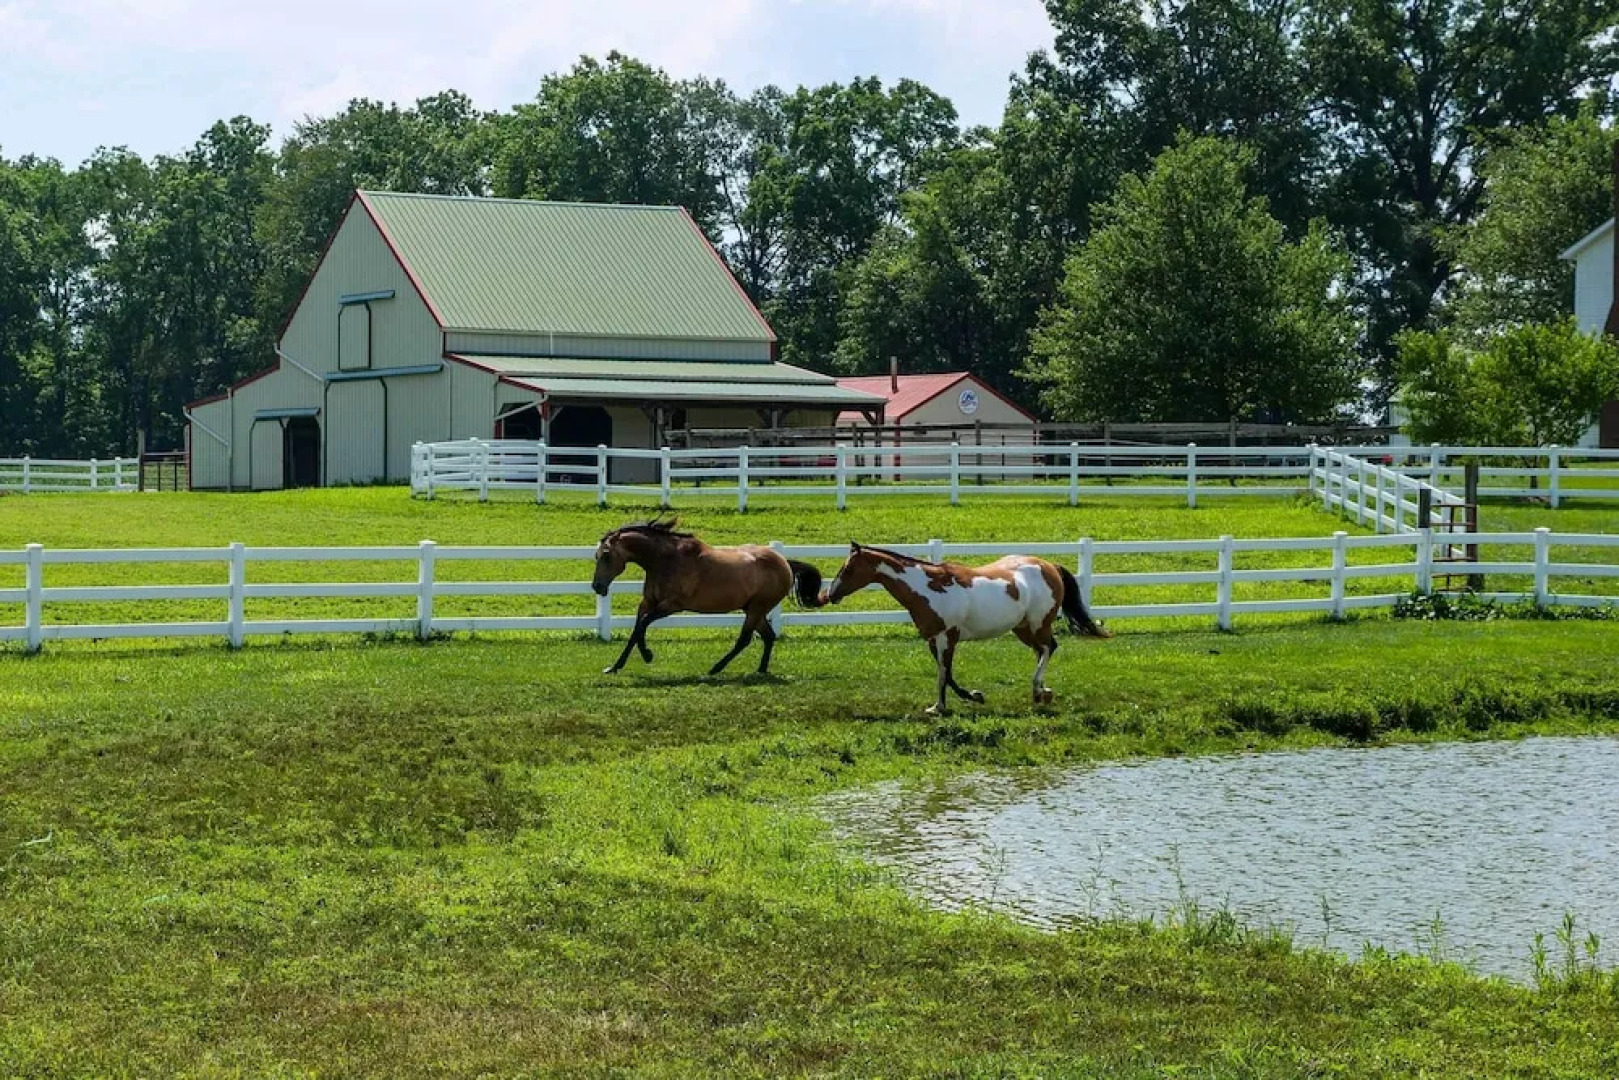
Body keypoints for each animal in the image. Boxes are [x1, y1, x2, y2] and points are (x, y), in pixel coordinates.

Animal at [592, 518, 825, 677]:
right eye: (596, 555)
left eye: (606, 555)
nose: (597, 586)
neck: (665, 560)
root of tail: (785, 563)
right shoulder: (648, 603)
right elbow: (635, 631)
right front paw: (614, 667)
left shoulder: (671, 606)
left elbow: (642, 625)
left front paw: (648, 655)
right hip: (753, 610)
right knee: (769, 636)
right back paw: (760, 670)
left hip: (757, 608)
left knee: (745, 639)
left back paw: (715, 668)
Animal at [819, 542, 1111, 715]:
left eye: (848, 568)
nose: (829, 594)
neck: (927, 587)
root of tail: (1049, 565)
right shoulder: (933, 639)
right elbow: (944, 674)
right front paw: (943, 705)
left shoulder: (948, 637)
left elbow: (945, 673)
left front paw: (965, 699)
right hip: (1023, 629)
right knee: (1041, 651)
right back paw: (1040, 693)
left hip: (1039, 623)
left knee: (1050, 647)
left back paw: (1041, 690)